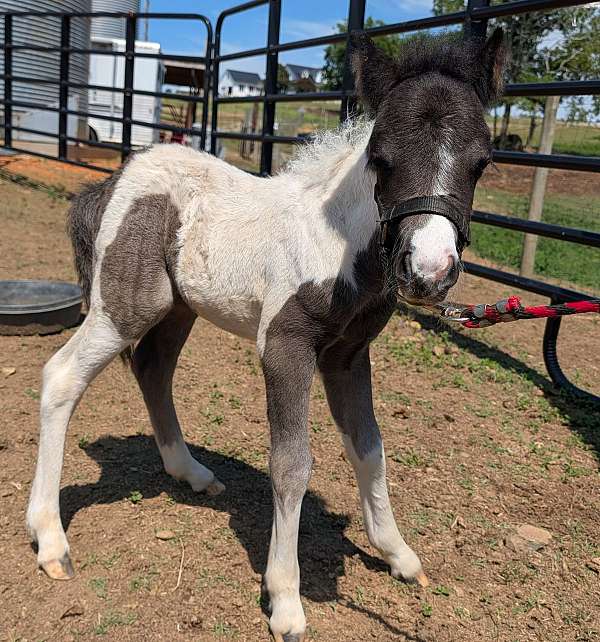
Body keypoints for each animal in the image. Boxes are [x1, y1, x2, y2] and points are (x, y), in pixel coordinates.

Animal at [27, 29, 506, 642]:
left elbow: (369, 445)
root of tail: (113, 182)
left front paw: (397, 553)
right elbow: (292, 463)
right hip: (127, 307)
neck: (338, 246)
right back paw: (50, 539)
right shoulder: (285, 347)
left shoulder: (348, 356)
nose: (428, 271)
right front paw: (286, 599)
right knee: (62, 375)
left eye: (481, 162)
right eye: (381, 158)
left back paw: (190, 473)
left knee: (152, 368)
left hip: (179, 308)